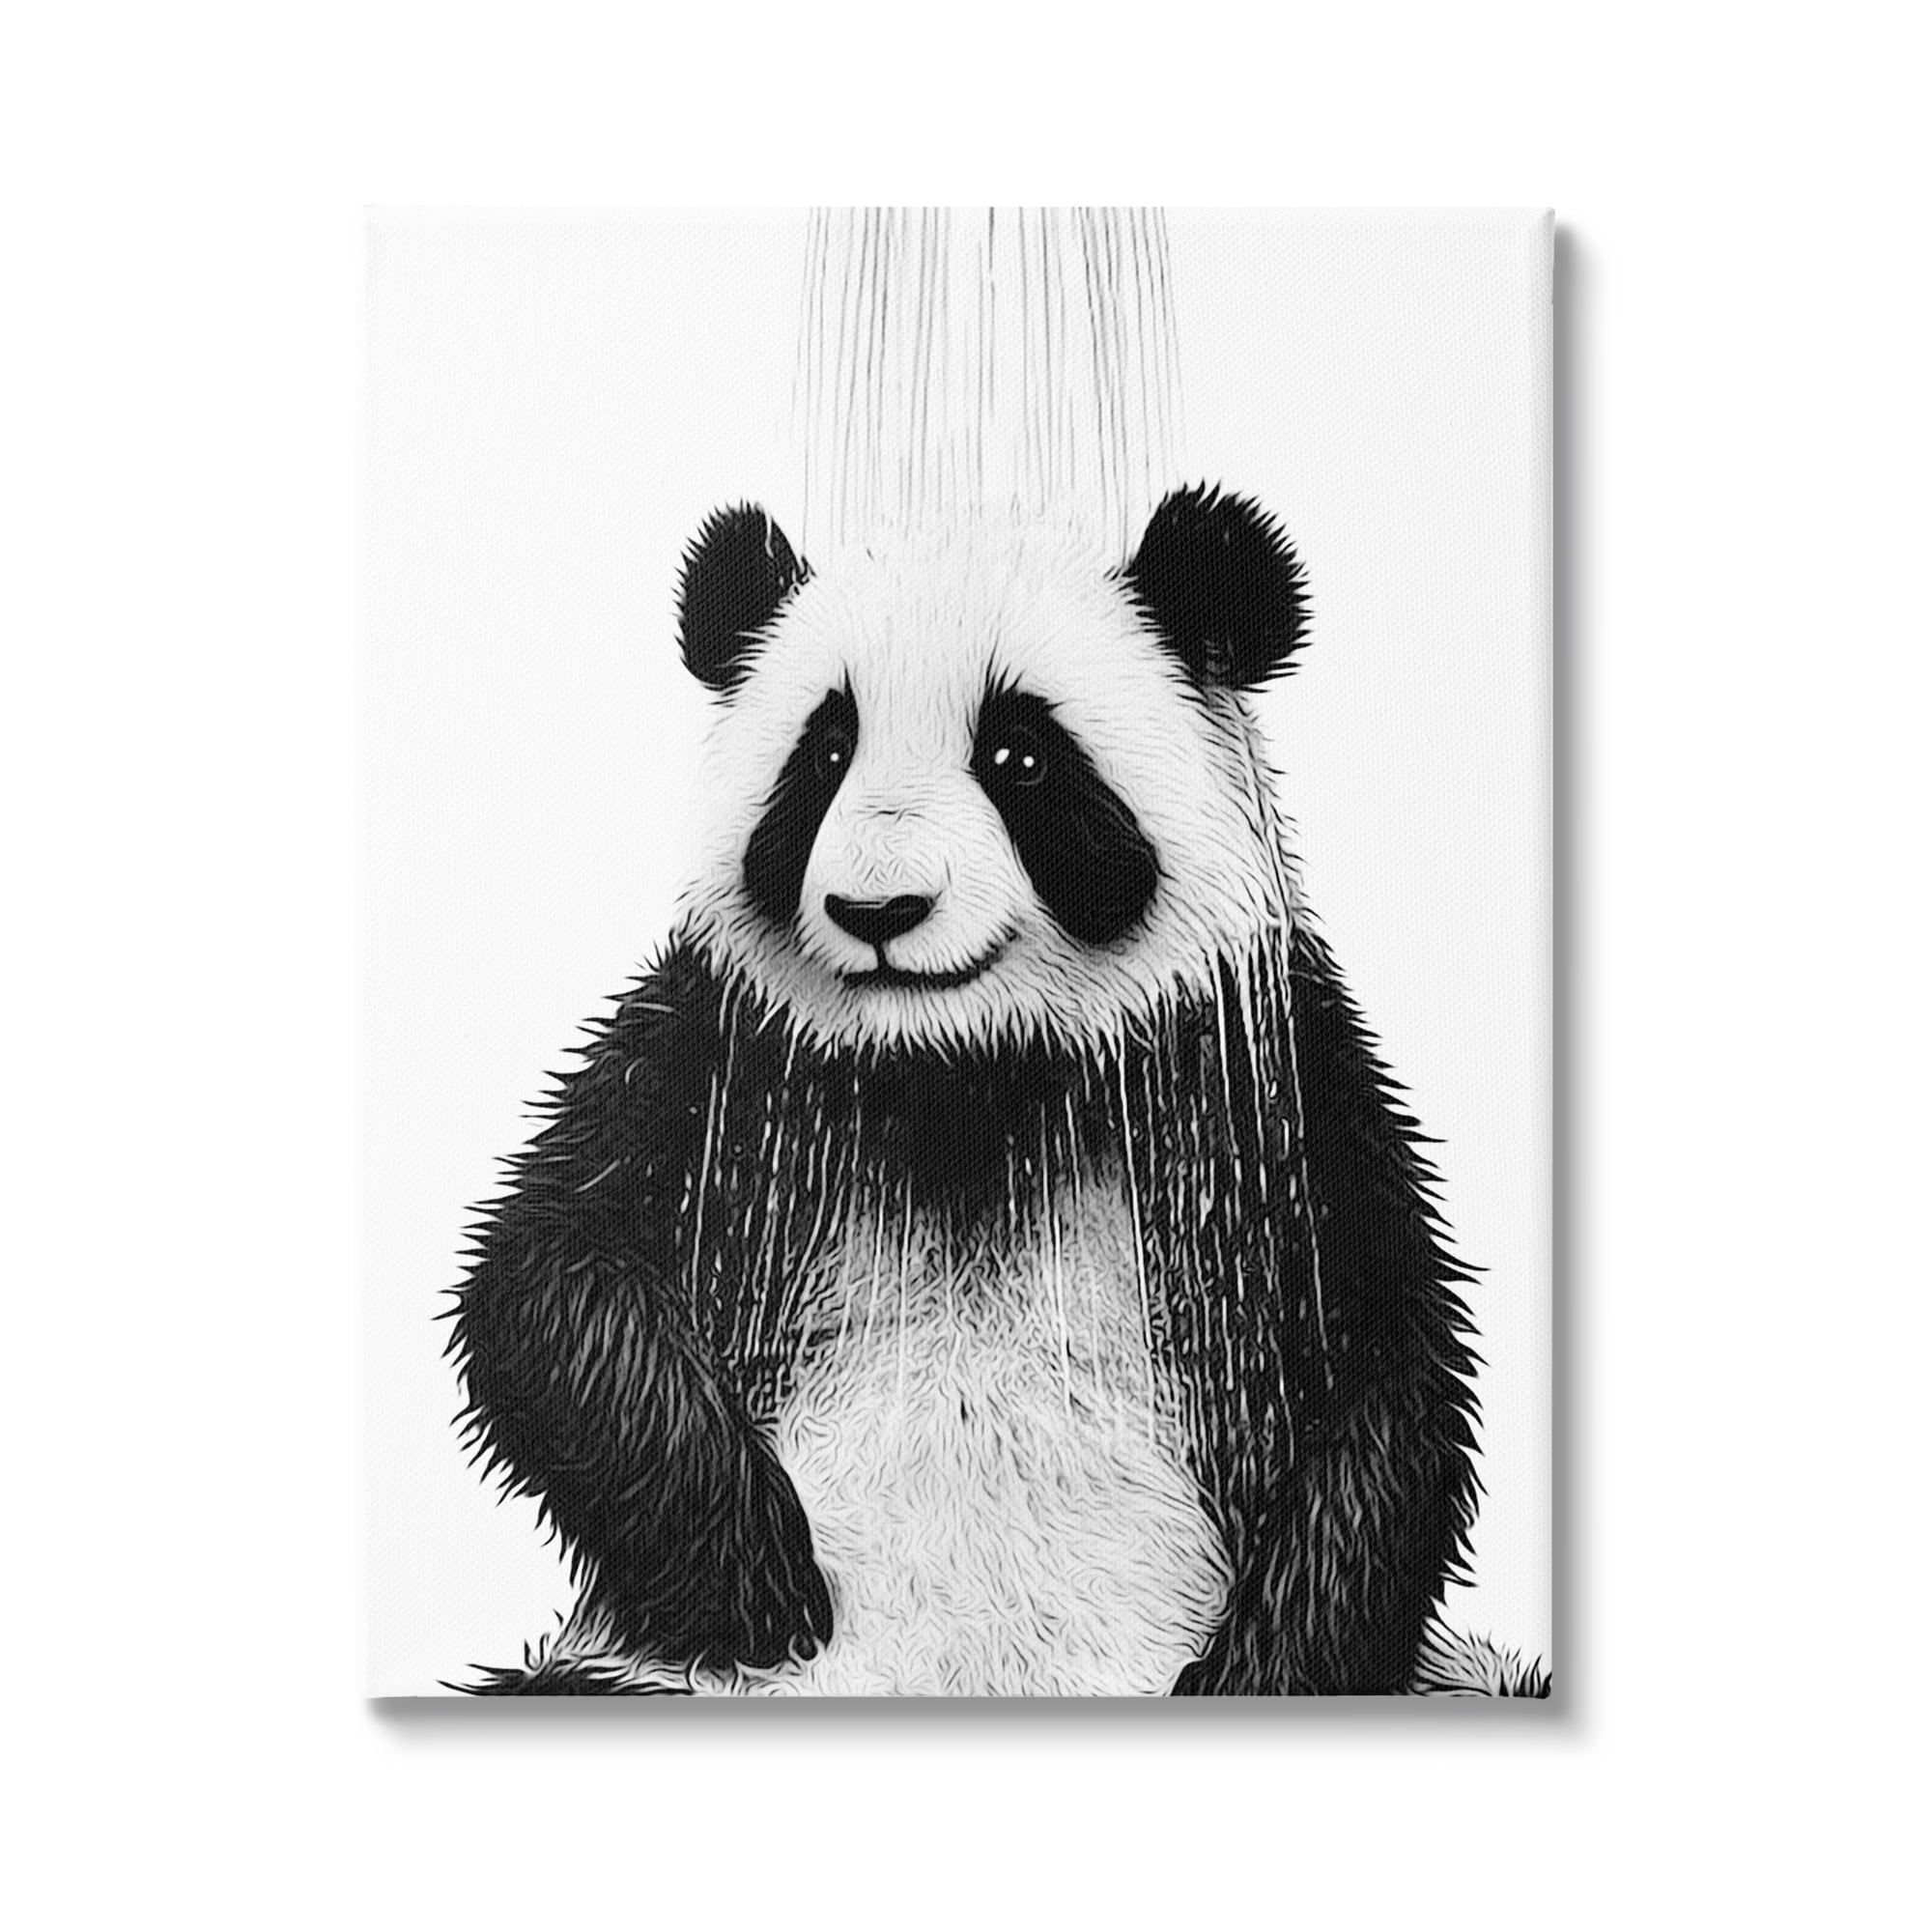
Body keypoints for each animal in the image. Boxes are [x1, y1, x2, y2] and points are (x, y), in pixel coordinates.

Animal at [451, 484, 1482, 1696]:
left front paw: (1261, 1670)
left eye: (1019, 754)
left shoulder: (1254, 1071)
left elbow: (1387, 1363)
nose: (879, 909)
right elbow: (552, 1270)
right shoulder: (724, 1049)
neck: (962, 1069)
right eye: (825, 750)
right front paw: (751, 1579)